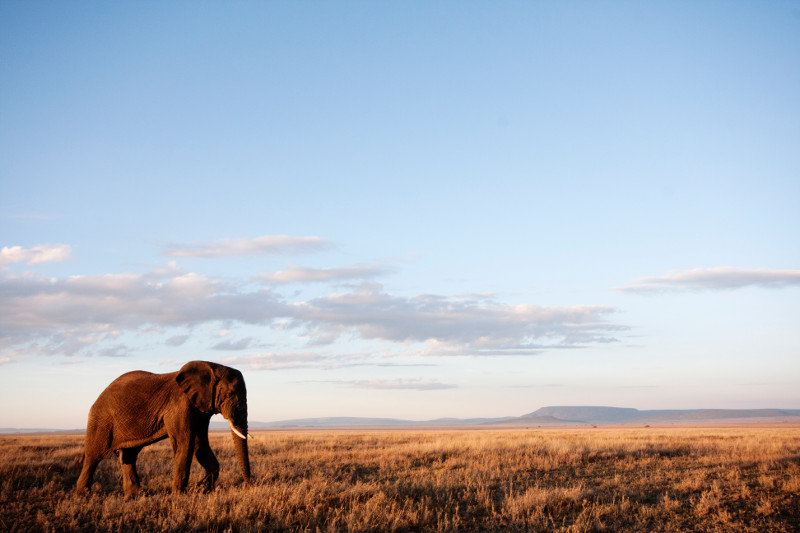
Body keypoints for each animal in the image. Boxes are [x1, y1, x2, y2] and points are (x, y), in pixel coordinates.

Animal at [76, 360, 250, 496]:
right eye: (231, 393)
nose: (248, 485)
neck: (211, 366)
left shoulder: (200, 409)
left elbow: (199, 446)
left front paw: (200, 489)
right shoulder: (179, 405)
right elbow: (186, 444)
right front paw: (180, 495)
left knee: (129, 457)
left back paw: (137, 496)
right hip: (101, 421)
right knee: (93, 456)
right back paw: (84, 496)